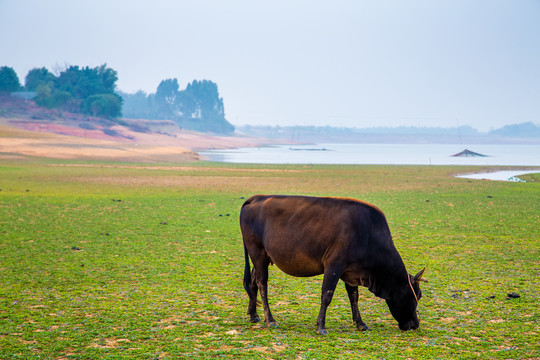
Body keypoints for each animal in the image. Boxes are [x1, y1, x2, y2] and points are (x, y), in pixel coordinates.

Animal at [242, 194, 426, 334]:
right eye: (418, 295)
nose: (415, 324)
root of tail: (257, 197)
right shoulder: (334, 265)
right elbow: (327, 295)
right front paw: (321, 327)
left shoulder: (352, 272)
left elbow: (354, 297)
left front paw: (360, 323)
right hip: (257, 252)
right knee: (262, 284)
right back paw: (270, 319)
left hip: (263, 257)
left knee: (253, 282)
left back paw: (254, 315)